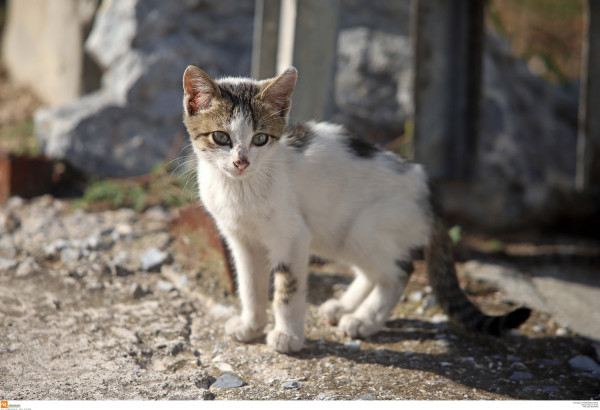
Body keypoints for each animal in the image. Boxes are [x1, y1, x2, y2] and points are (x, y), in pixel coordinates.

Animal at [180, 66, 528, 352]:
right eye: (221, 137)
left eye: (260, 139)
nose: (241, 162)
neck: (240, 190)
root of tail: (429, 191)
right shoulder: (241, 240)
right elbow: (250, 286)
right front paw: (251, 326)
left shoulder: (292, 237)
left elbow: (287, 288)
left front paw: (288, 336)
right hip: (340, 235)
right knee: (372, 271)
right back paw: (345, 307)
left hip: (365, 228)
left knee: (398, 272)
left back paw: (365, 320)